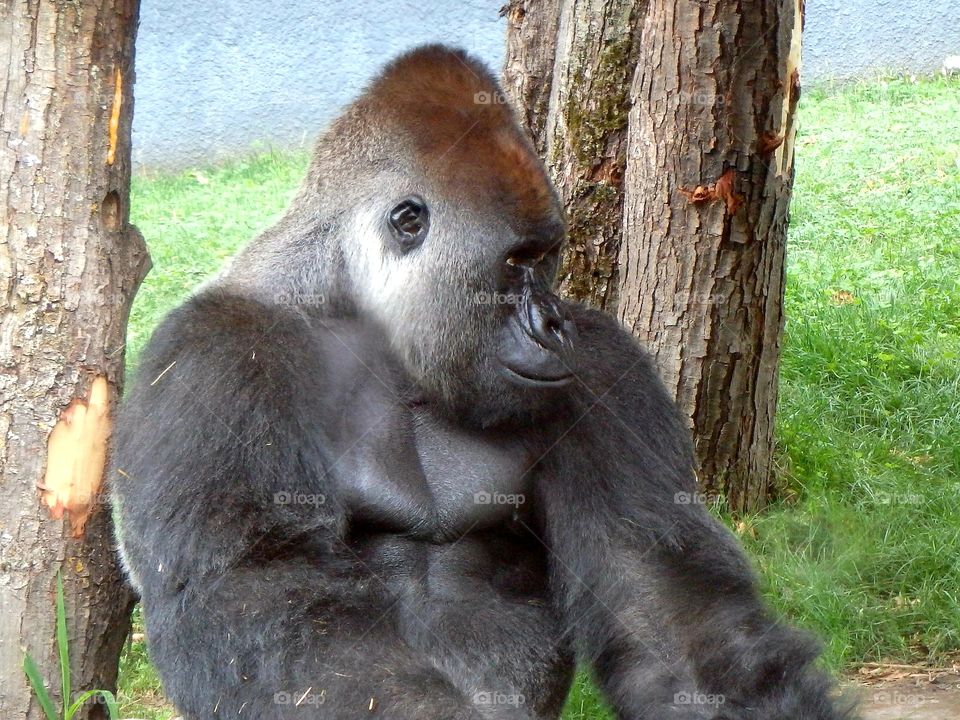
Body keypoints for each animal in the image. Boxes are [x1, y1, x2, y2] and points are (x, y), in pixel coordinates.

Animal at [111, 45, 854, 720]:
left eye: (546, 258)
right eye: (515, 263)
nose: (555, 324)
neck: (354, 304)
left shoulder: (606, 364)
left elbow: (663, 599)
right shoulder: (213, 358)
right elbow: (259, 593)